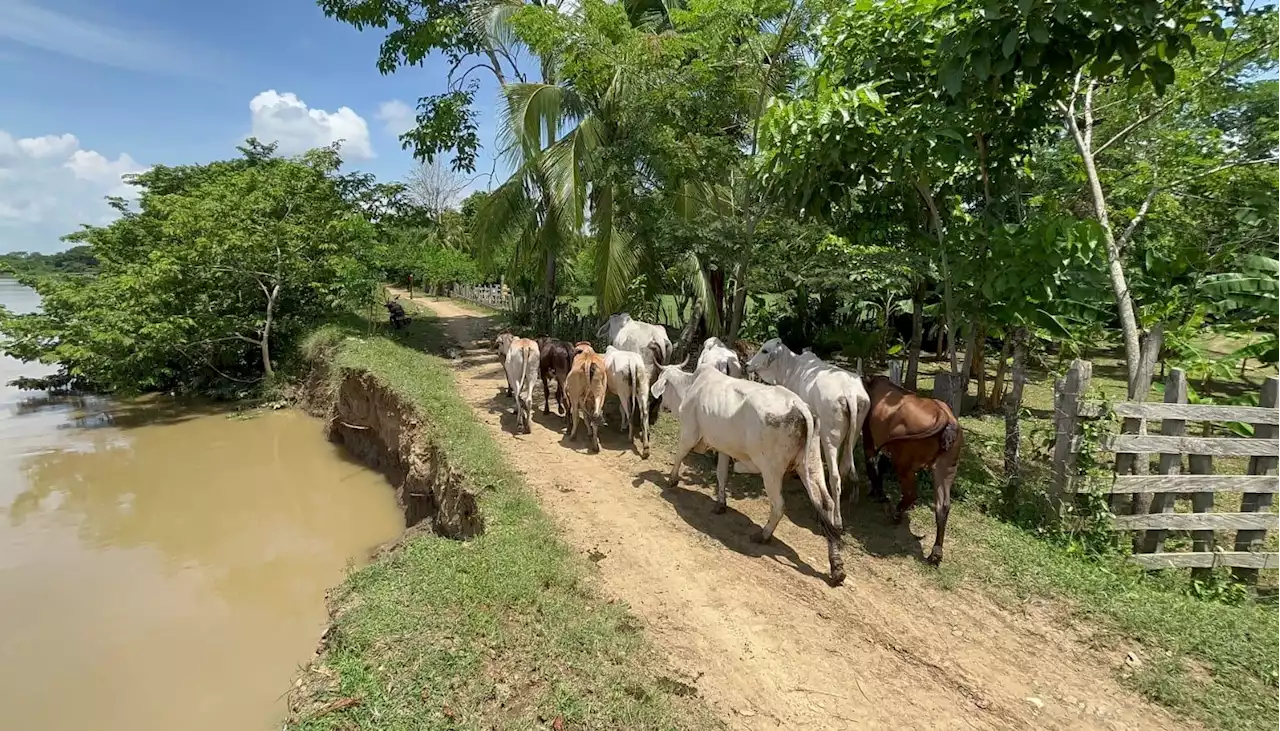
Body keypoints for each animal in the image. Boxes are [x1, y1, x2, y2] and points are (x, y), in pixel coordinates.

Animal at [650, 363, 849, 586]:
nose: (660, 407)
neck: (691, 386)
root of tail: (799, 405)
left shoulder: (689, 433)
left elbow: (679, 455)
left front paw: (671, 480)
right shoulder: (724, 448)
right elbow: (721, 475)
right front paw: (720, 505)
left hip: (771, 469)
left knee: (779, 505)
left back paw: (763, 535)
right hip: (811, 463)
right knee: (827, 503)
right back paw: (836, 566)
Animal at [742, 337, 870, 519]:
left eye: (765, 350)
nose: (747, 365)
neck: (790, 367)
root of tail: (850, 393)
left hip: (829, 438)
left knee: (835, 476)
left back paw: (835, 515)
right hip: (853, 434)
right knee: (844, 466)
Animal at [860, 373, 962, 568]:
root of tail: (944, 416)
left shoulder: (870, 439)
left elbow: (871, 464)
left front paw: (877, 493)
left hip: (904, 462)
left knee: (911, 494)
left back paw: (895, 514)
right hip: (946, 468)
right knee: (943, 506)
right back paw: (936, 553)